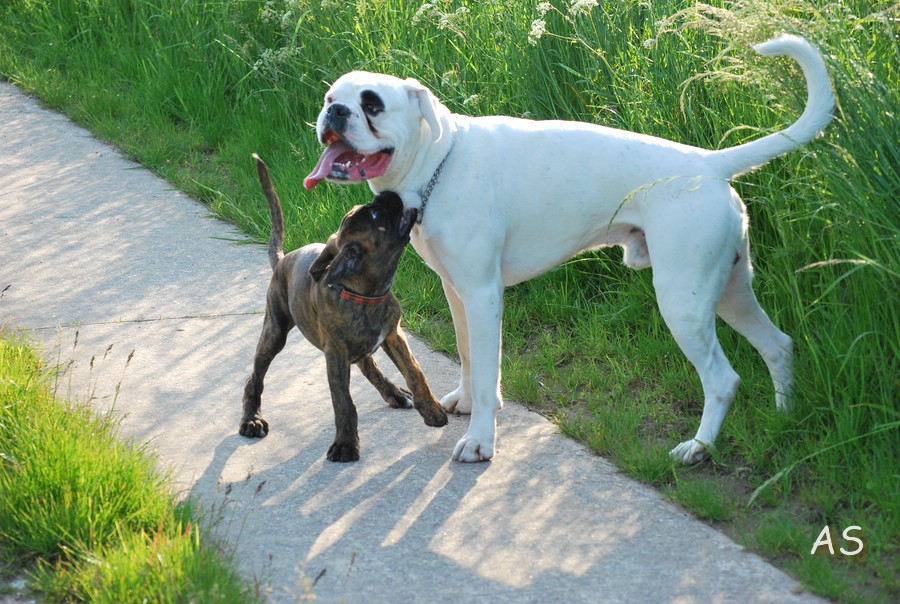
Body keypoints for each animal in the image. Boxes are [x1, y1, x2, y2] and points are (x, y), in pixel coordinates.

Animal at [240, 155, 448, 462]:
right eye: (374, 215)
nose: (385, 195)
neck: (367, 296)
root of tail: (283, 259)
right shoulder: (335, 355)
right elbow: (344, 402)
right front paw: (346, 444)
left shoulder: (394, 336)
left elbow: (415, 372)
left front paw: (431, 409)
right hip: (274, 331)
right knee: (255, 378)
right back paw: (251, 420)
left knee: (368, 364)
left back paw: (394, 393)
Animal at [304, 35, 835, 464]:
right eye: (332, 97)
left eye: (372, 104)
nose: (334, 112)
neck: (438, 160)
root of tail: (708, 164)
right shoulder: (457, 292)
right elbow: (469, 355)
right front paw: (468, 403)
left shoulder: (482, 293)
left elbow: (486, 364)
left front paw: (480, 441)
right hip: (728, 292)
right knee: (778, 345)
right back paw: (784, 419)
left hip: (683, 302)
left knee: (723, 380)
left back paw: (699, 449)